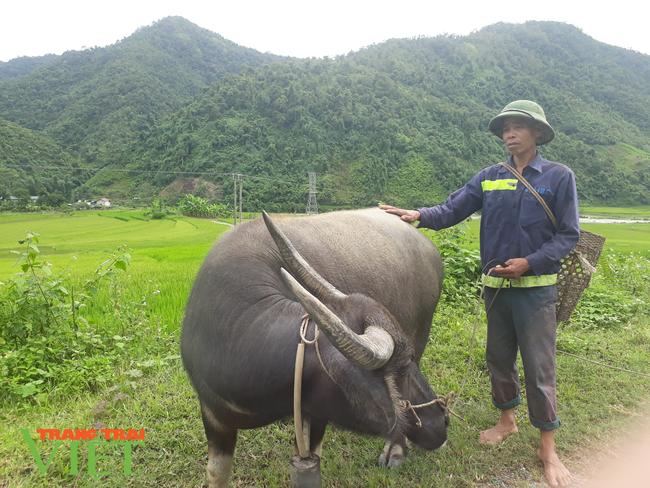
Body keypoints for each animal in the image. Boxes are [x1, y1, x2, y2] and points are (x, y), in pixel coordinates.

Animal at [180, 208, 448, 486]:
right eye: (402, 369)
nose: (443, 420)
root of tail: (427, 245)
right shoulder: (212, 414)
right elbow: (216, 472)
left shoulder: (317, 412)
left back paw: (394, 449)